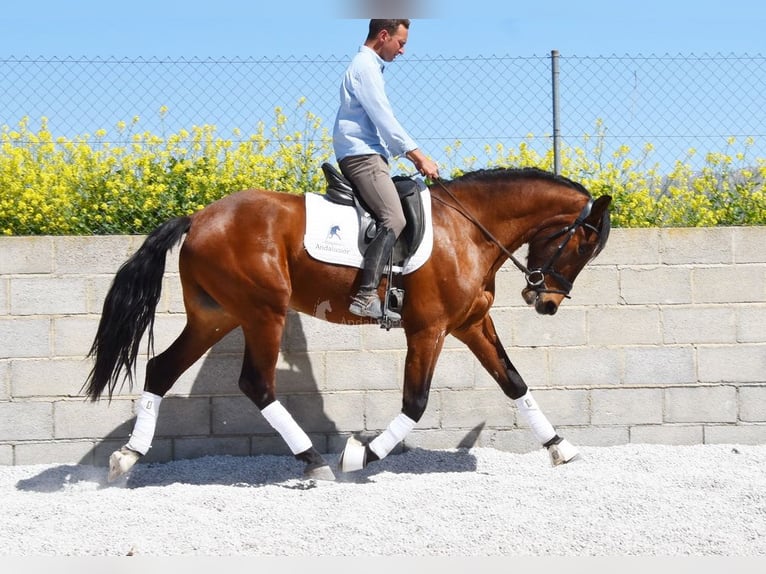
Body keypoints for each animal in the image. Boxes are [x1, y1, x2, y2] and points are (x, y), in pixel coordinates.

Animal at [84, 165, 612, 482]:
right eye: (583, 245)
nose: (547, 302)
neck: (467, 230)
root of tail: (197, 216)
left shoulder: (471, 323)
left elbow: (514, 382)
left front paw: (560, 447)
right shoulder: (428, 330)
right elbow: (415, 403)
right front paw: (360, 456)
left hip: (217, 316)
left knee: (162, 369)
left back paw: (127, 457)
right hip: (263, 313)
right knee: (256, 383)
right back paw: (314, 462)